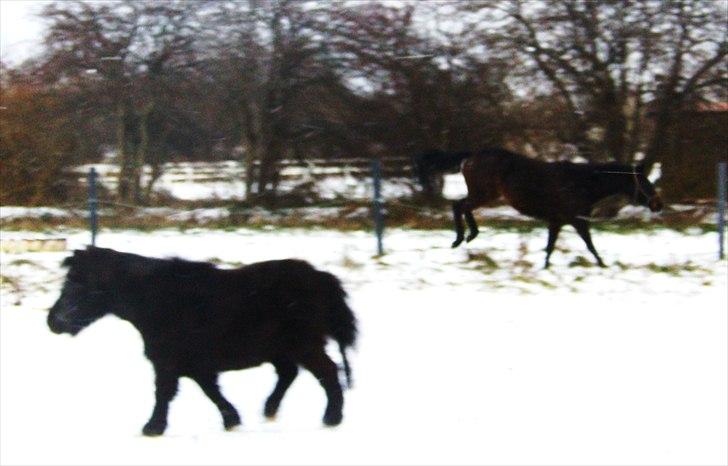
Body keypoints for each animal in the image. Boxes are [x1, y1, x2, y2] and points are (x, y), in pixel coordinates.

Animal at [48, 246, 357, 436]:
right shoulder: (193, 365)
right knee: (289, 374)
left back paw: (332, 418)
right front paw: (232, 419)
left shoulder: (169, 363)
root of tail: (322, 279)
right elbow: (210, 391)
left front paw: (152, 428)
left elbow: (165, 394)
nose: (53, 321)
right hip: (283, 350)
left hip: (304, 346)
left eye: (78, 284)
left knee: (327, 373)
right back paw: (270, 410)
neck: (155, 299)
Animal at [415, 148, 663, 268]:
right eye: (645, 182)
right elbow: (590, 245)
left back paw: (467, 236)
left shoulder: (557, 221)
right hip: (484, 194)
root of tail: (471, 156)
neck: (582, 183)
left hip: (484, 194)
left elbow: (550, 247)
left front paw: (545, 268)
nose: (658, 205)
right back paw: (463, 237)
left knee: (460, 206)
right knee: (460, 206)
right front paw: (603, 266)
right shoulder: (577, 220)